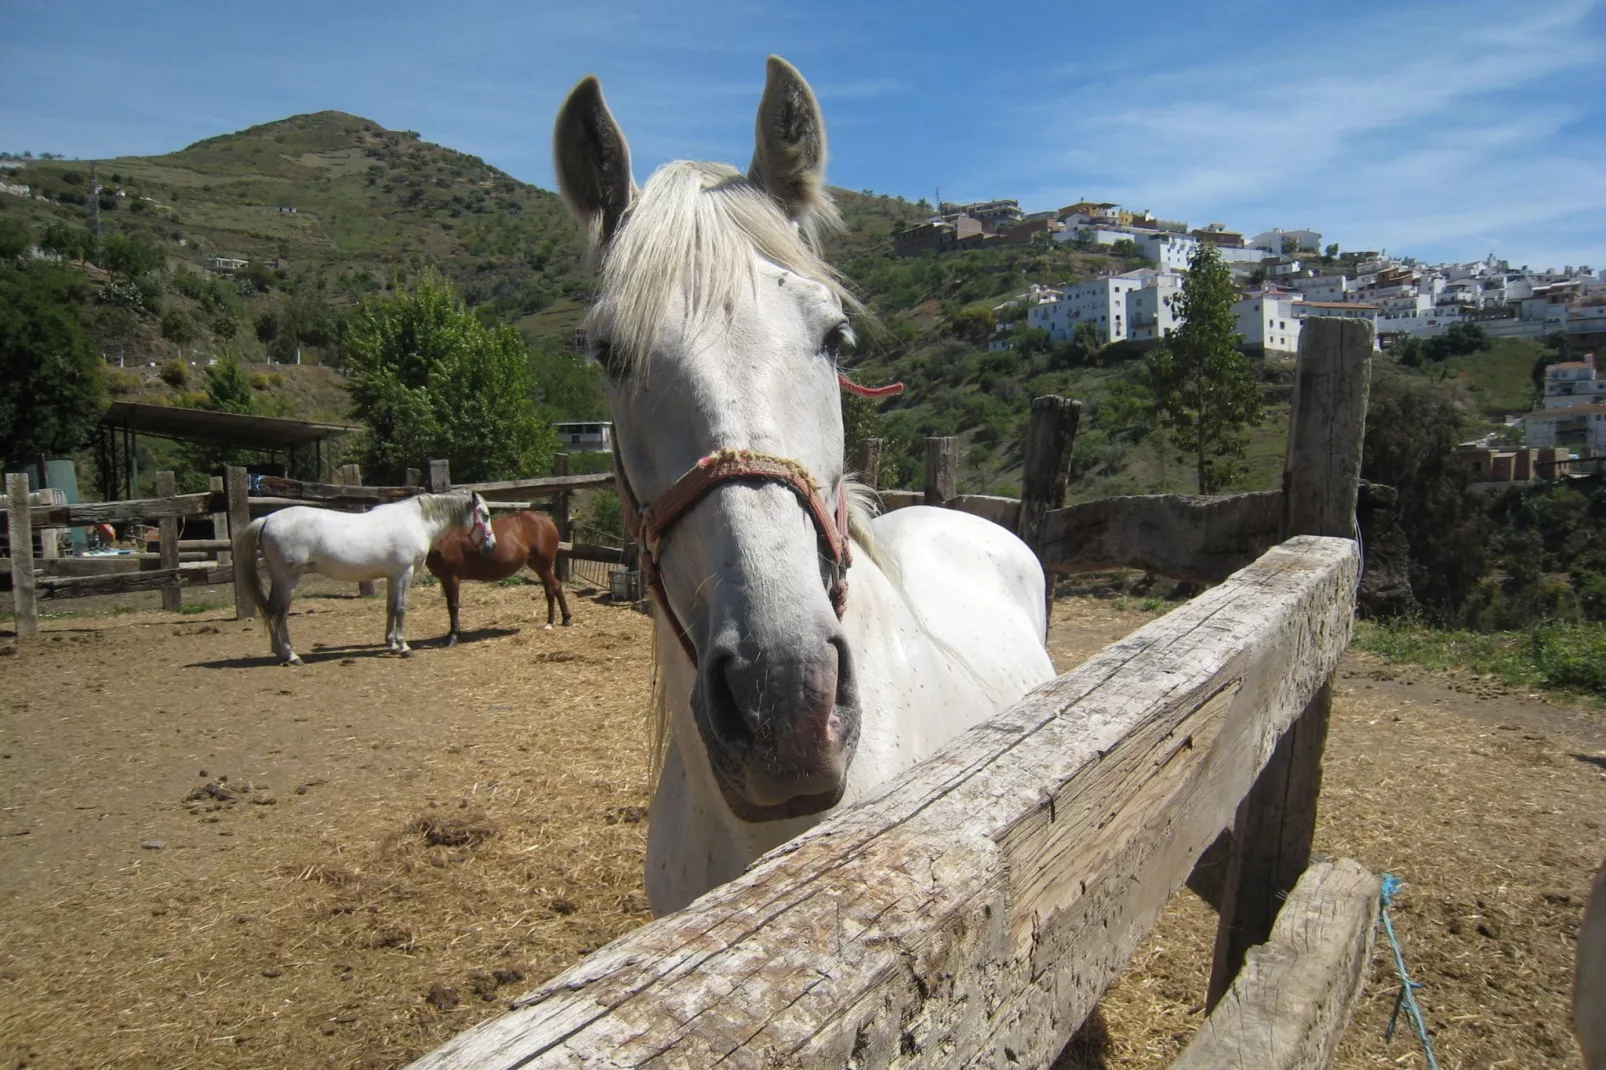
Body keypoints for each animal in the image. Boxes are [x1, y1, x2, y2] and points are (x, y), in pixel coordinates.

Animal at [234, 488, 491, 658]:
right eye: (485, 515)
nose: (491, 545)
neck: (416, 522)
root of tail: (267, 518)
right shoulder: (404, 573)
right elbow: (401, 608)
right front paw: (404, 647)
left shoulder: (392, 576)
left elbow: (390, 607)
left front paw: (391, 644)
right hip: (289, 579)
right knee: (280, 611)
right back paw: (290, 655)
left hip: (278, 579)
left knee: (271, 609)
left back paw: (279, 653)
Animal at [423, 507, 574, 642]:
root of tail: (547, 521)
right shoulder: (445, 578)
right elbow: (450, 605)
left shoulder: (451, 576)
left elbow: (453, 605)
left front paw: (453, 636)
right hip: (537, 566)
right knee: (554, 587)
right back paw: (563, 619)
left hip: (544, 565)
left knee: (551, 589)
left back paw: (552, 622)